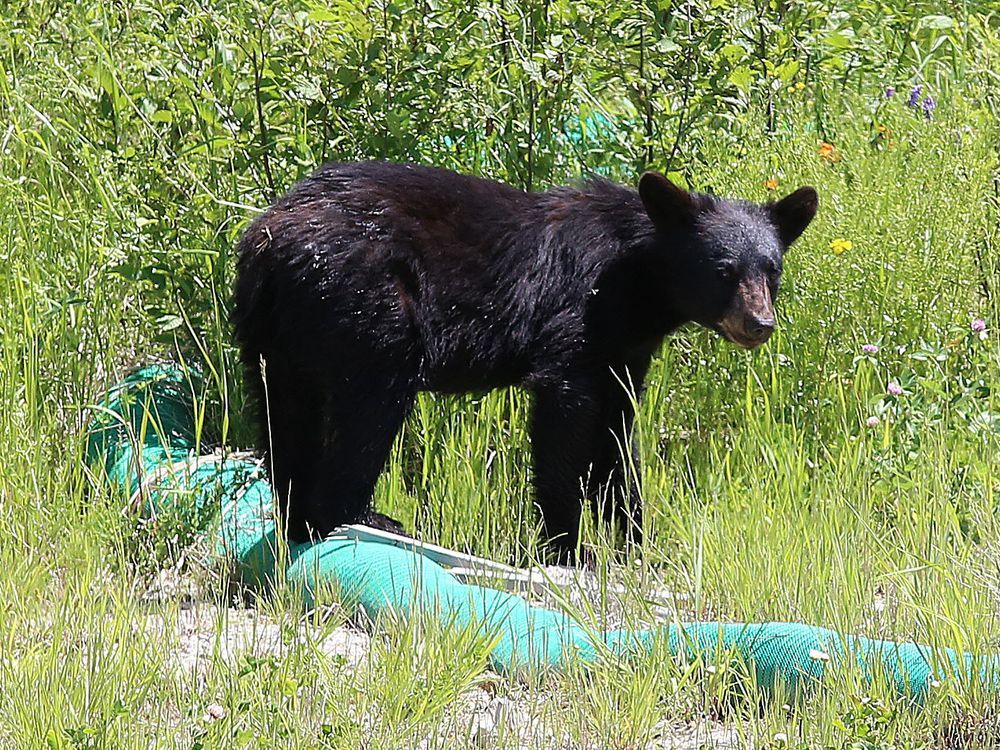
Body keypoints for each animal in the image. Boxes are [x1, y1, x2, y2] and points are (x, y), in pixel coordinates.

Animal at [232, 161, 817, 557]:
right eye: (722, 270)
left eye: (772, 269)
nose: (759, 324)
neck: (636, 280)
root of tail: (269, 238)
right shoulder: (578, 320)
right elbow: (565, 421)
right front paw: (569, 548)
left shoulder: (625, 350)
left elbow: (618, 435)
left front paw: (636, 543)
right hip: (367, 302)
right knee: (368, 404)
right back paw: (365, 520)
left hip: (273, 335)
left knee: (284, 415)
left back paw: (297, 521)